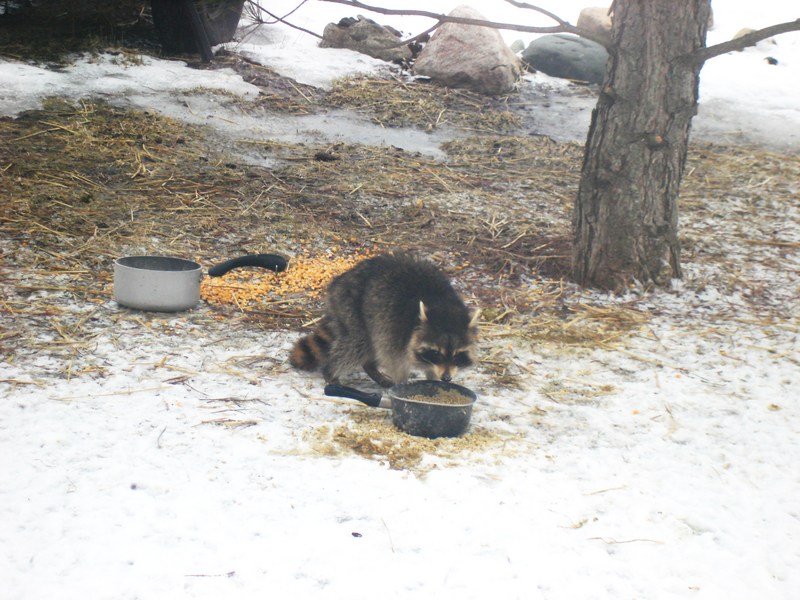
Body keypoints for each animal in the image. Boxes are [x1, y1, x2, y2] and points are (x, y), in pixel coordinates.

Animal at [290, 252, 478, 384]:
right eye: (437, 353)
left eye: (457, 354)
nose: (446, 378)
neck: (443, 305)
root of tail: (341, 279)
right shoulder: (397, 331)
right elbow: (396, 363)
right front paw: (403, 384)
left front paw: (433, 380)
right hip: (353, 310)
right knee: (355, 346)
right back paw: (331, 372)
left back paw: (370, 368)